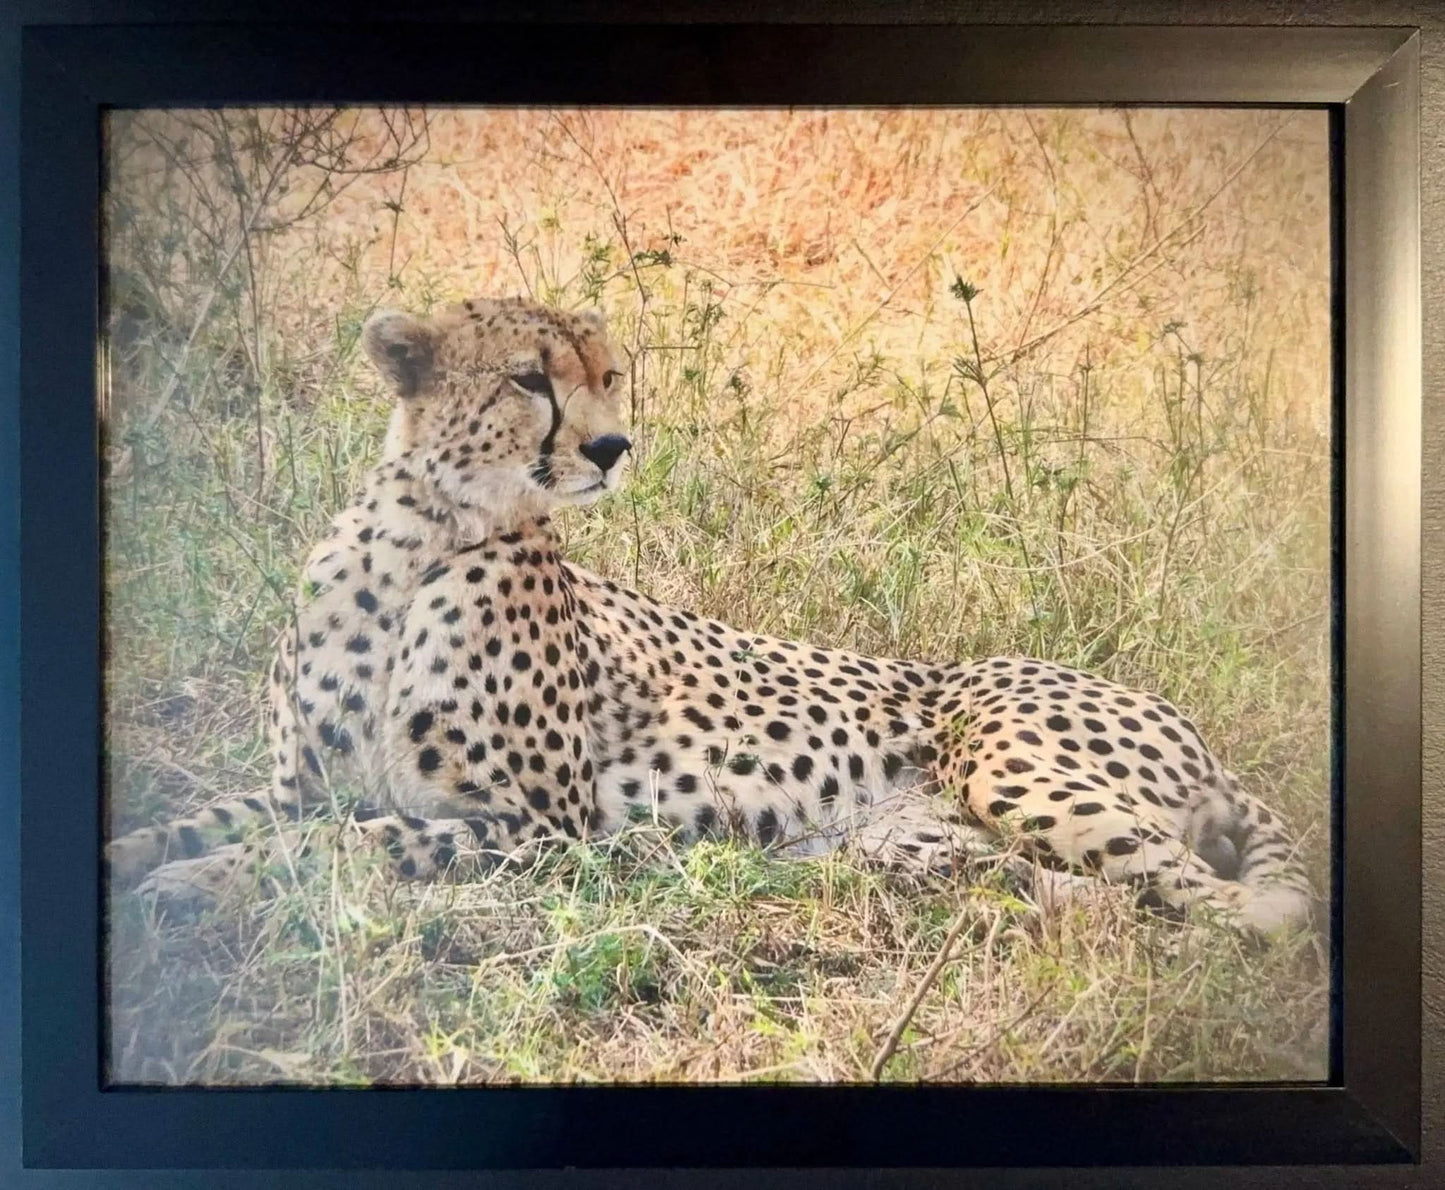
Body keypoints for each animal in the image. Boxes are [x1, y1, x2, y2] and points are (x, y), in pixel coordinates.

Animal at [107, 295, 1315, 936]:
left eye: (609, 374)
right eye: (528, 378)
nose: (611, 445)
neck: (420, 543)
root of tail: (1192, 726)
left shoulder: (544, 830)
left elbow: (348, 840)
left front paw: (195, 889)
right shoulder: (297, 785)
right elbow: (212, 818)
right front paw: (148, 862)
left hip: (1012, 764)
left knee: (1229, 907)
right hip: (913, 836)